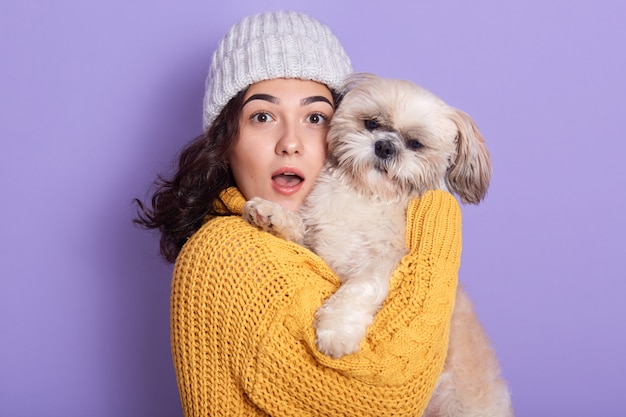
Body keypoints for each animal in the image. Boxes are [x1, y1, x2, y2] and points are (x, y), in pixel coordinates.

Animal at [241, 73, 510, 414]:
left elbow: (359, 289)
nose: (384, 146)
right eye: (371, 124)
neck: (365, 195)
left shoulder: (384, 263)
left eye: (415, 144)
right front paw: (271, 215)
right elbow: (299, 229)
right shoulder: (319, 244)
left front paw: (336, 331)